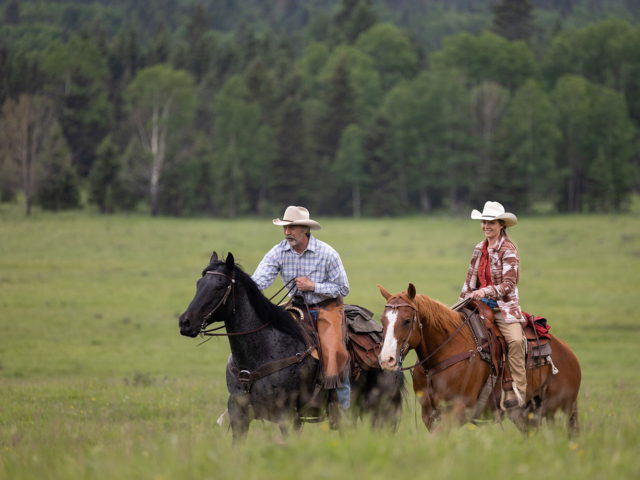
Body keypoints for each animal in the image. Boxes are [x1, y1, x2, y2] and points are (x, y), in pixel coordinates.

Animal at [178, 251, 402, 442]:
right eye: (198, 284)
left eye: (219, 286)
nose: (185, 322)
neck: (258, 355)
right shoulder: (238, 414)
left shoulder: (289, 415)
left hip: (383, 406)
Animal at [376, 284, 580, 434]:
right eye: (382, 320)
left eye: (407, 321)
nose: (387, 360)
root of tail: (569, 354)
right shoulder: (429, 413)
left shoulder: (460, 409)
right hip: (526, 413)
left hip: (558, 411)